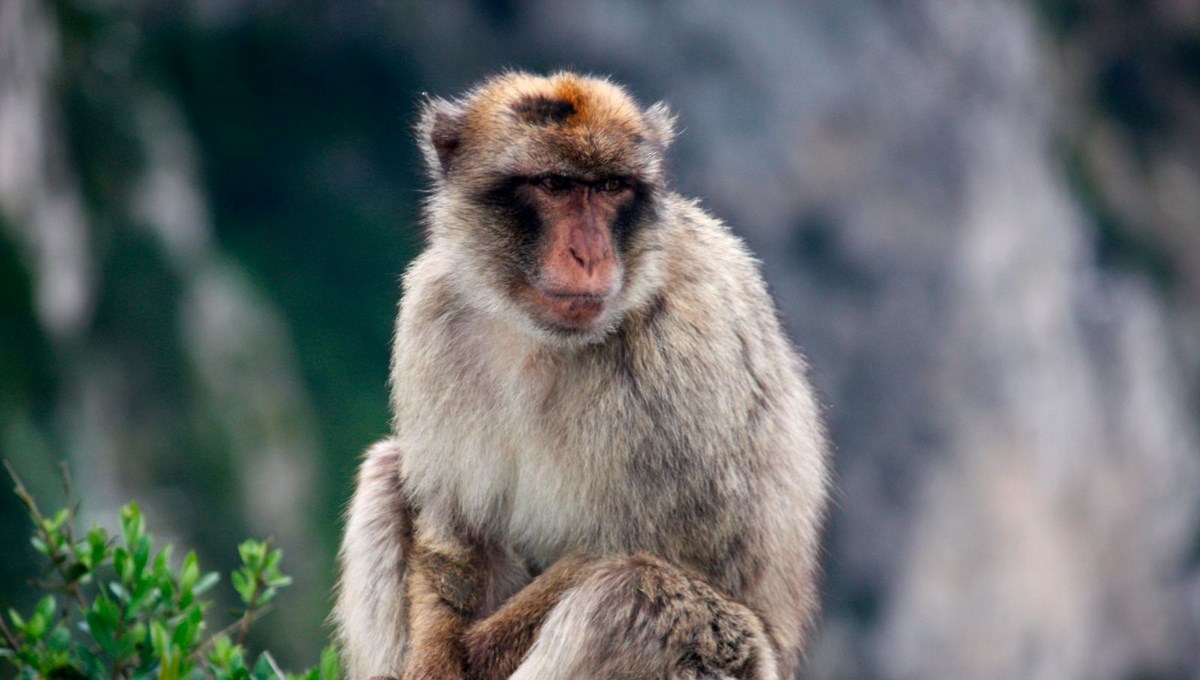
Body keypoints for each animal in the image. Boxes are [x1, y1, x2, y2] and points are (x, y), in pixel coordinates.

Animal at [333, 70, 830, 680]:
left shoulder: (685, 356)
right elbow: (455, 528)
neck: (539, 335)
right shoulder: (432, 311)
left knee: (635, 594)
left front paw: (479, 654)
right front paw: (435, 659)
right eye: (554, 184)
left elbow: (666, 548)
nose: (589, 255)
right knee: (387, 472)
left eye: (612, 186)